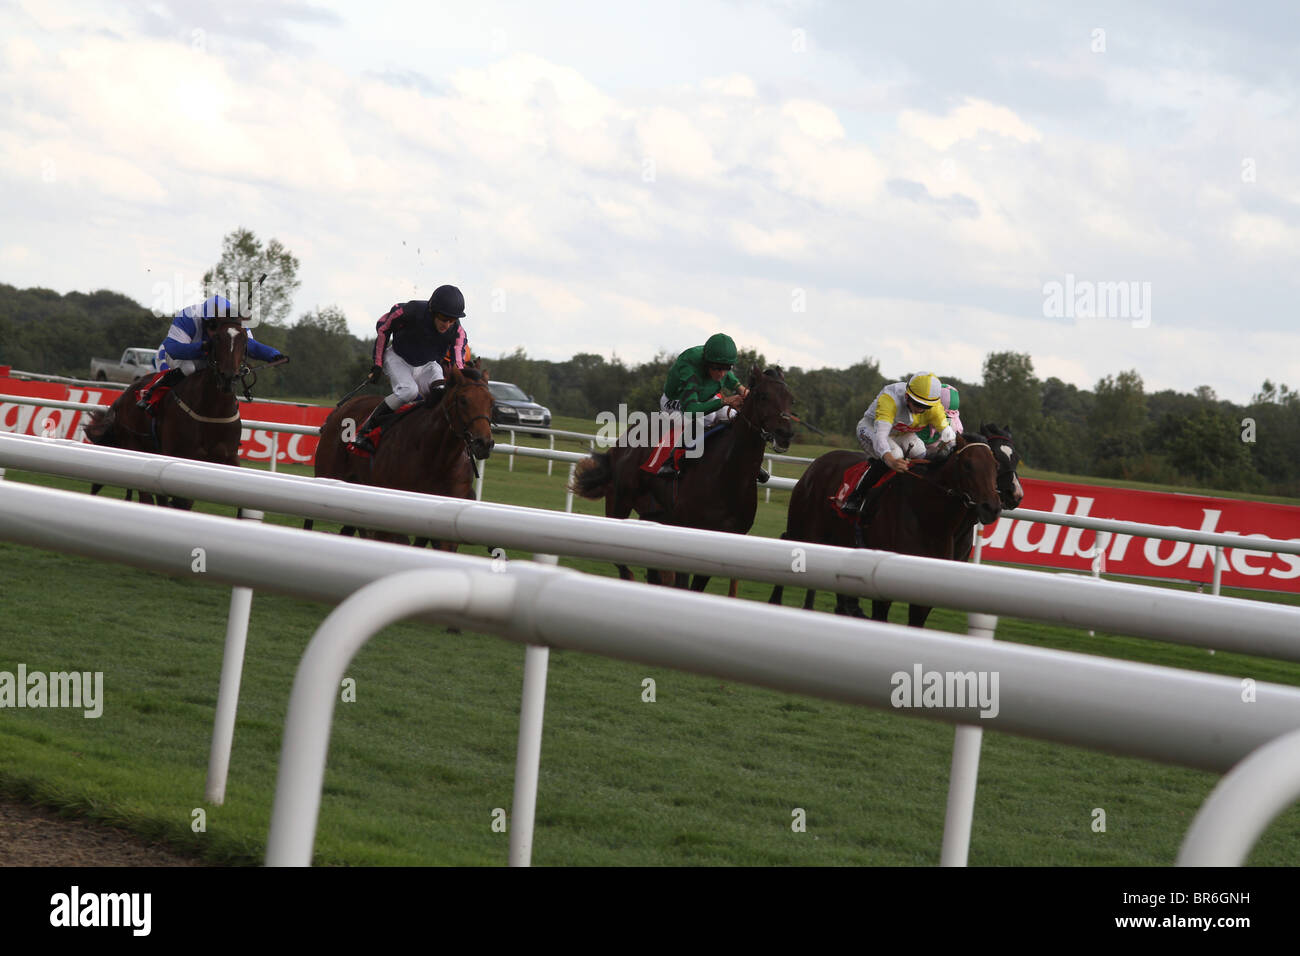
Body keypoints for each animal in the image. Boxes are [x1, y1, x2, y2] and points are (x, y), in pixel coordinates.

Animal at [85, 316, 250, 512]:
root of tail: (123, 395)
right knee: (145, 498)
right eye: (217, 338)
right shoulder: (179, 456)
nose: (228, 378)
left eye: (245, 340)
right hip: (133, 444)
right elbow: (177, 501)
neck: (213, 411)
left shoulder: (230, 458)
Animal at [309, 364, 496, 546]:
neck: (436, 459)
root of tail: (341, 408)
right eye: (463, 400)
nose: (484, 443)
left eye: (491, 402)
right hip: (327, 473)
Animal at [572, 366, 795, 590]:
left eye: (790, 399)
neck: (729, 476)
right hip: (620, 502)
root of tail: (622, 442)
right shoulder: (688, 531)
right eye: (763, 395)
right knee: (620, 560)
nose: (785, 434)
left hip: (656, 514)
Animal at [769, 431, 1003, 629]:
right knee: (785, 543)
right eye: (967, 465)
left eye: (995, 465)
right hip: (804, 529)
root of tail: (817, 463)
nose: (991, 507)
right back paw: (776, 602)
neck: (928, 517)